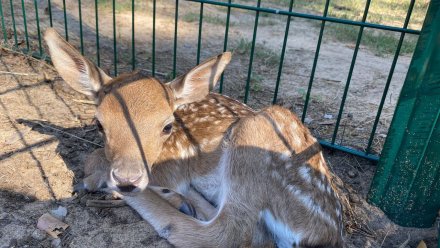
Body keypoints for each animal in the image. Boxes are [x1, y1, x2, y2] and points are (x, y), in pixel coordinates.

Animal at [45, 28, 344, 247]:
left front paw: (95, 179)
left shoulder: (172, 168)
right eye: (99, 123)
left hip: (255, 137)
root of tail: (325, 236)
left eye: (167, 127)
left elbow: (95, 157)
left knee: (226, 235)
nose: (127, 180)